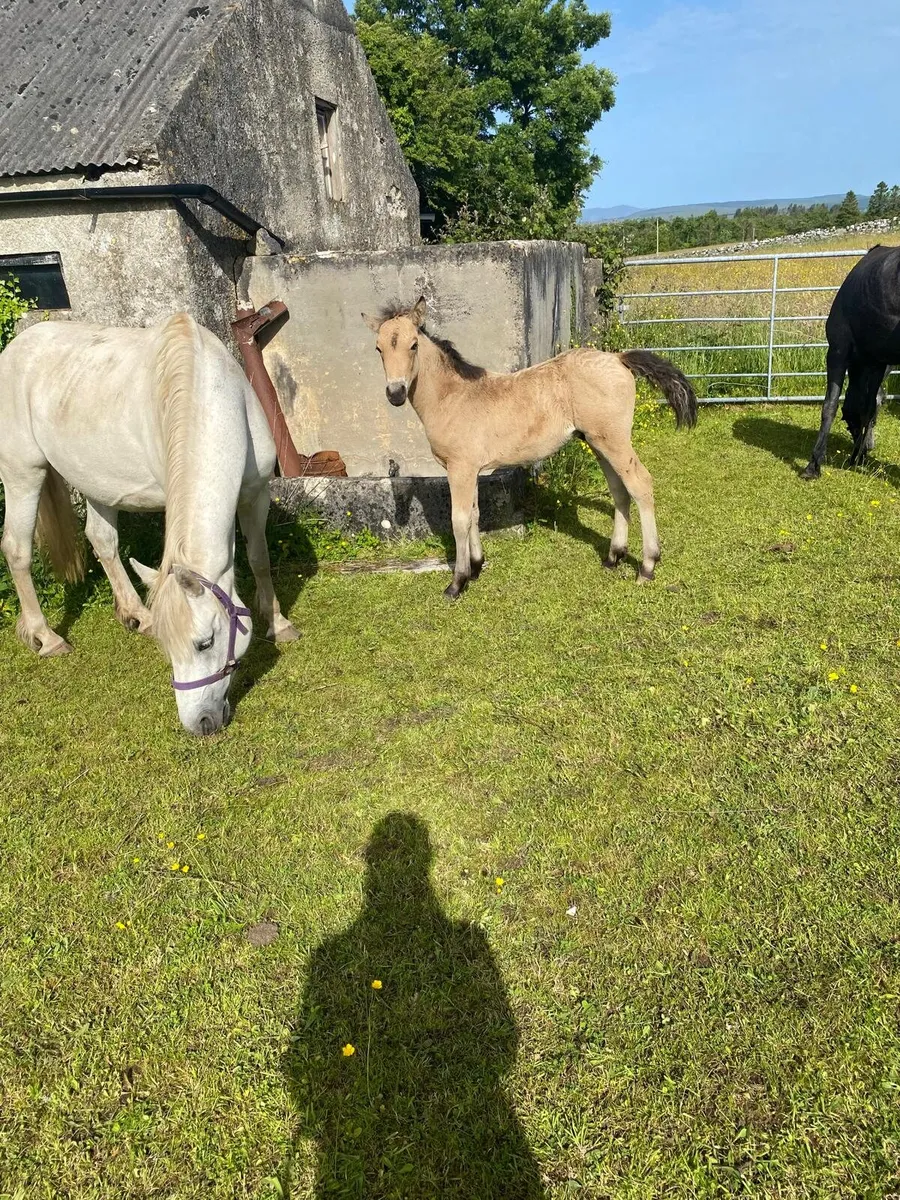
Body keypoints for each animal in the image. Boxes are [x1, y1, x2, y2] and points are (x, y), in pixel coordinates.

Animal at [0, 312, 298, 736]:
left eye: (205, 643)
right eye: (169, 648)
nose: (199, 723)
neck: (213, 396)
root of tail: (17, 348)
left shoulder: (255, 495)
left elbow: (259, 558)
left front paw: (279, 623)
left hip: (96, 482)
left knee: (102, 540)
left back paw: (135, 614)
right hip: (23, 473)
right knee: (17, 549)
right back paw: (47, 637)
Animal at [363, 297, 698, 600]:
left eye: (413, 345)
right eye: (379, 349)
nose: (395, 393)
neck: (453, 397)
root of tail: (618, 358)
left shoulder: (460, 468)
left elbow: (458, 520)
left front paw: (457, 583)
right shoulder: (471, 469)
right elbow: (474, 514)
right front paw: (477, 566)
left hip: (613, 441)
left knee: (640, 484)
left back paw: (648, 566)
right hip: (598, 443)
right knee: (619, 490)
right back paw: (613, 557)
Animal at [802, 244, 900, 479]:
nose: (868, 449)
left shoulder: (837, 351)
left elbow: (830, 405)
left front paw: (813, 464)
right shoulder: (877, 363)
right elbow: (868, 408)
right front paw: (856, 457)